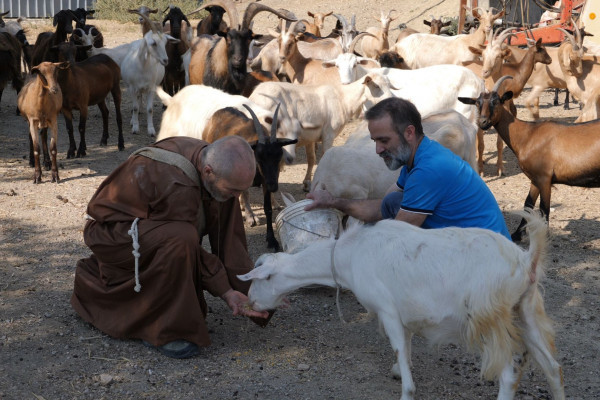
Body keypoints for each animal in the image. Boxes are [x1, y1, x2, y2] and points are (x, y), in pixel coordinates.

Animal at [238, 212, 564, 400]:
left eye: (260, 279)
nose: (251, 302)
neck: (349, 255)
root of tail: (526, 259)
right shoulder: (404, 316)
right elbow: (405, 351)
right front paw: (398, 368)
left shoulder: (388, 312)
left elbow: (407, 379)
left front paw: (403, 381)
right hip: (526, 309)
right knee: (553, 369)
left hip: (487, 319)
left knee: (509, 375)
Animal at [248, 71, 398, 191]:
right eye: (376, 86)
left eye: (389, 85)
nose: (393, 100)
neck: (344, 99)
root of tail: (253, 97)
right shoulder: (328, 134)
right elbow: (323, 155)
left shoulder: (309, 137)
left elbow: (311, 159)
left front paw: (307, 183)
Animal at [462, 76, 600, 241]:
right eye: (477, 103)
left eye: (496, 101)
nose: (482, 122)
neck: (528, 134)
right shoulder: (535, 179)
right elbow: (527, 204)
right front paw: (517, 234)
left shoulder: (544, 178)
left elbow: (544, 209)